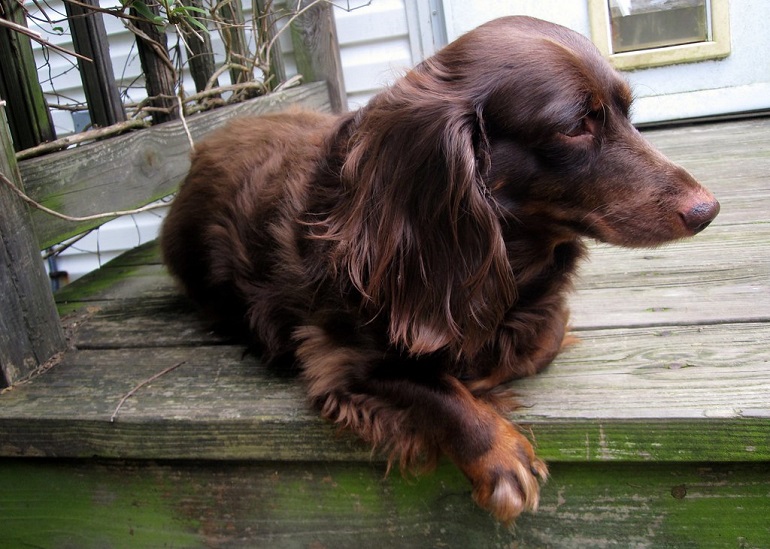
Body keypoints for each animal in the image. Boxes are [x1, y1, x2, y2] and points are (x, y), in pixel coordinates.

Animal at [159, 16, 716, 524]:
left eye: (626, 112)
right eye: (575, 125)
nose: (707, 210)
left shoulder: (542, 320)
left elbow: (535, 343)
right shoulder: (335, 355)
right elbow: (431, 383)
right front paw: (500, 454)